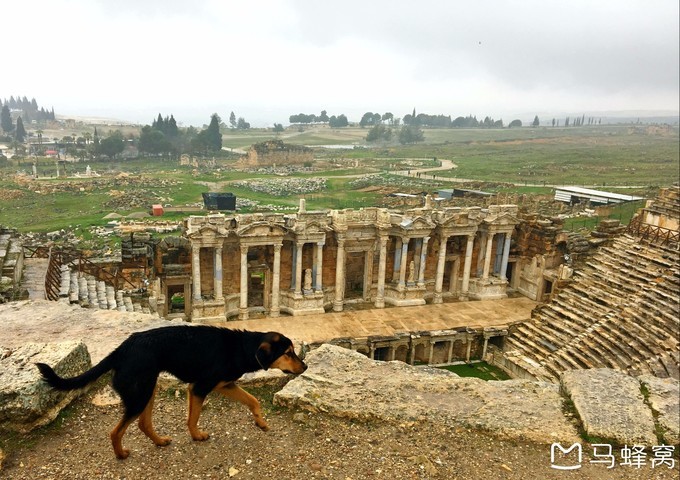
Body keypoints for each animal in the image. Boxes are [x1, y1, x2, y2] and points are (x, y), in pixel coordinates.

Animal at [34, 324, 306, 460]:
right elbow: (193, 418)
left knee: (143, 423)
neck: (241, 347)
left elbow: (253, 401)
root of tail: (121, 349)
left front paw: (261, 422)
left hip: (147, 388)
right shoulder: (200, 387)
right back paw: (121, 454)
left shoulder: (224, 384)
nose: (305, 367)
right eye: (289, 353)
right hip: (140, 393)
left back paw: (160, 441)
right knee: (116, 431)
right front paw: (197, 436)